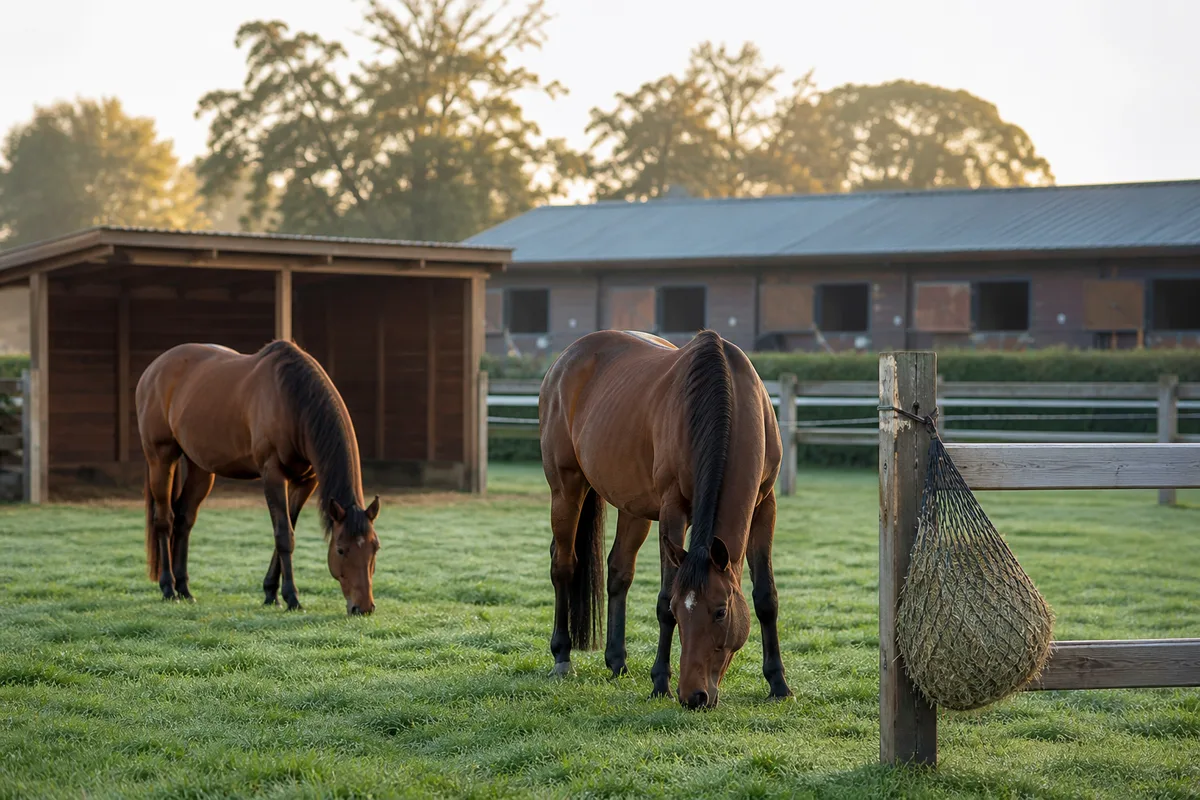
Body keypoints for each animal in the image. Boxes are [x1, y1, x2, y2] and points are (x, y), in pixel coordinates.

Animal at [135, 340, 381, 615]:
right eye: (340, 550)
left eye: (375, 547)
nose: (364, 607)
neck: (291, 400)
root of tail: (154, 369)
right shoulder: (272, 473)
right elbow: (284, 535)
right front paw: (291, 597)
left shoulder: (306, 481)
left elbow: (287, 528)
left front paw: (271, 593)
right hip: (160, 457)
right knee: (164, 520)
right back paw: (168, 588)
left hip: (200, 468)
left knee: (184, 518)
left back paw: (184, 589)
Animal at [538, 329, 792, 709]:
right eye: (680, 609)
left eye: (720, 611)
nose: (695, 696)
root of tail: (565, 359)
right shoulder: (672, 510)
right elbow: (662, 601)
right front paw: (660, 682)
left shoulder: (764, 506)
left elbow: (765, 598)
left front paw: (778, 683)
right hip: (566, 488)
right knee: (563, 564)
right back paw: (562, 657)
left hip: (634, 507)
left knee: (619, 571)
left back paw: (617, 662)